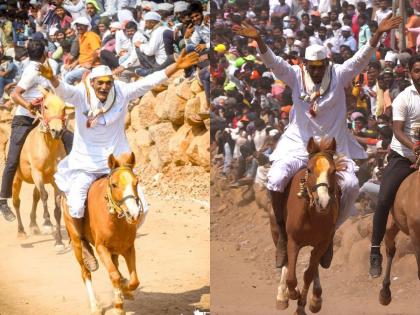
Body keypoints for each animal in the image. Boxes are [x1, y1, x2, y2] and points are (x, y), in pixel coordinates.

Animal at [13, 86, 68, 249]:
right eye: (46, 106)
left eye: (64, 108)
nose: (57, 131)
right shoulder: (37, 173)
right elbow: (45, 196)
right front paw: (47, 223)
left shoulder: (56, 179)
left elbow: (57, 207)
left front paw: (59, 241)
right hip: (16, 178)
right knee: (16, 202)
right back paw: (21, 231)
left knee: (35, 197)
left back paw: (33, 225)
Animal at [63, 152, 145, 314]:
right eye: (114, 185)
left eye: (136, 182)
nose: (133, 214)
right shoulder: (102, 248)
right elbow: (114, 275)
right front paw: (118, 305)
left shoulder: (128, 248)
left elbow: (134, 281)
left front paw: (125, 289)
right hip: (76, 244)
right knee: (85, 272)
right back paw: (95, 305)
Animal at [276, 138, 344, 315]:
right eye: (309, 169)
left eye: (334, 171)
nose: (324, 201)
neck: (313, 216)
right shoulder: (293, 241)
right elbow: (291, 277)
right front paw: (292, 293)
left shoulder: (322, 243)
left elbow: (308, 274)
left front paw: (302, 304)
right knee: (285, 258)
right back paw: (282, 295)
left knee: (313, 266)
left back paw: (316, 298)